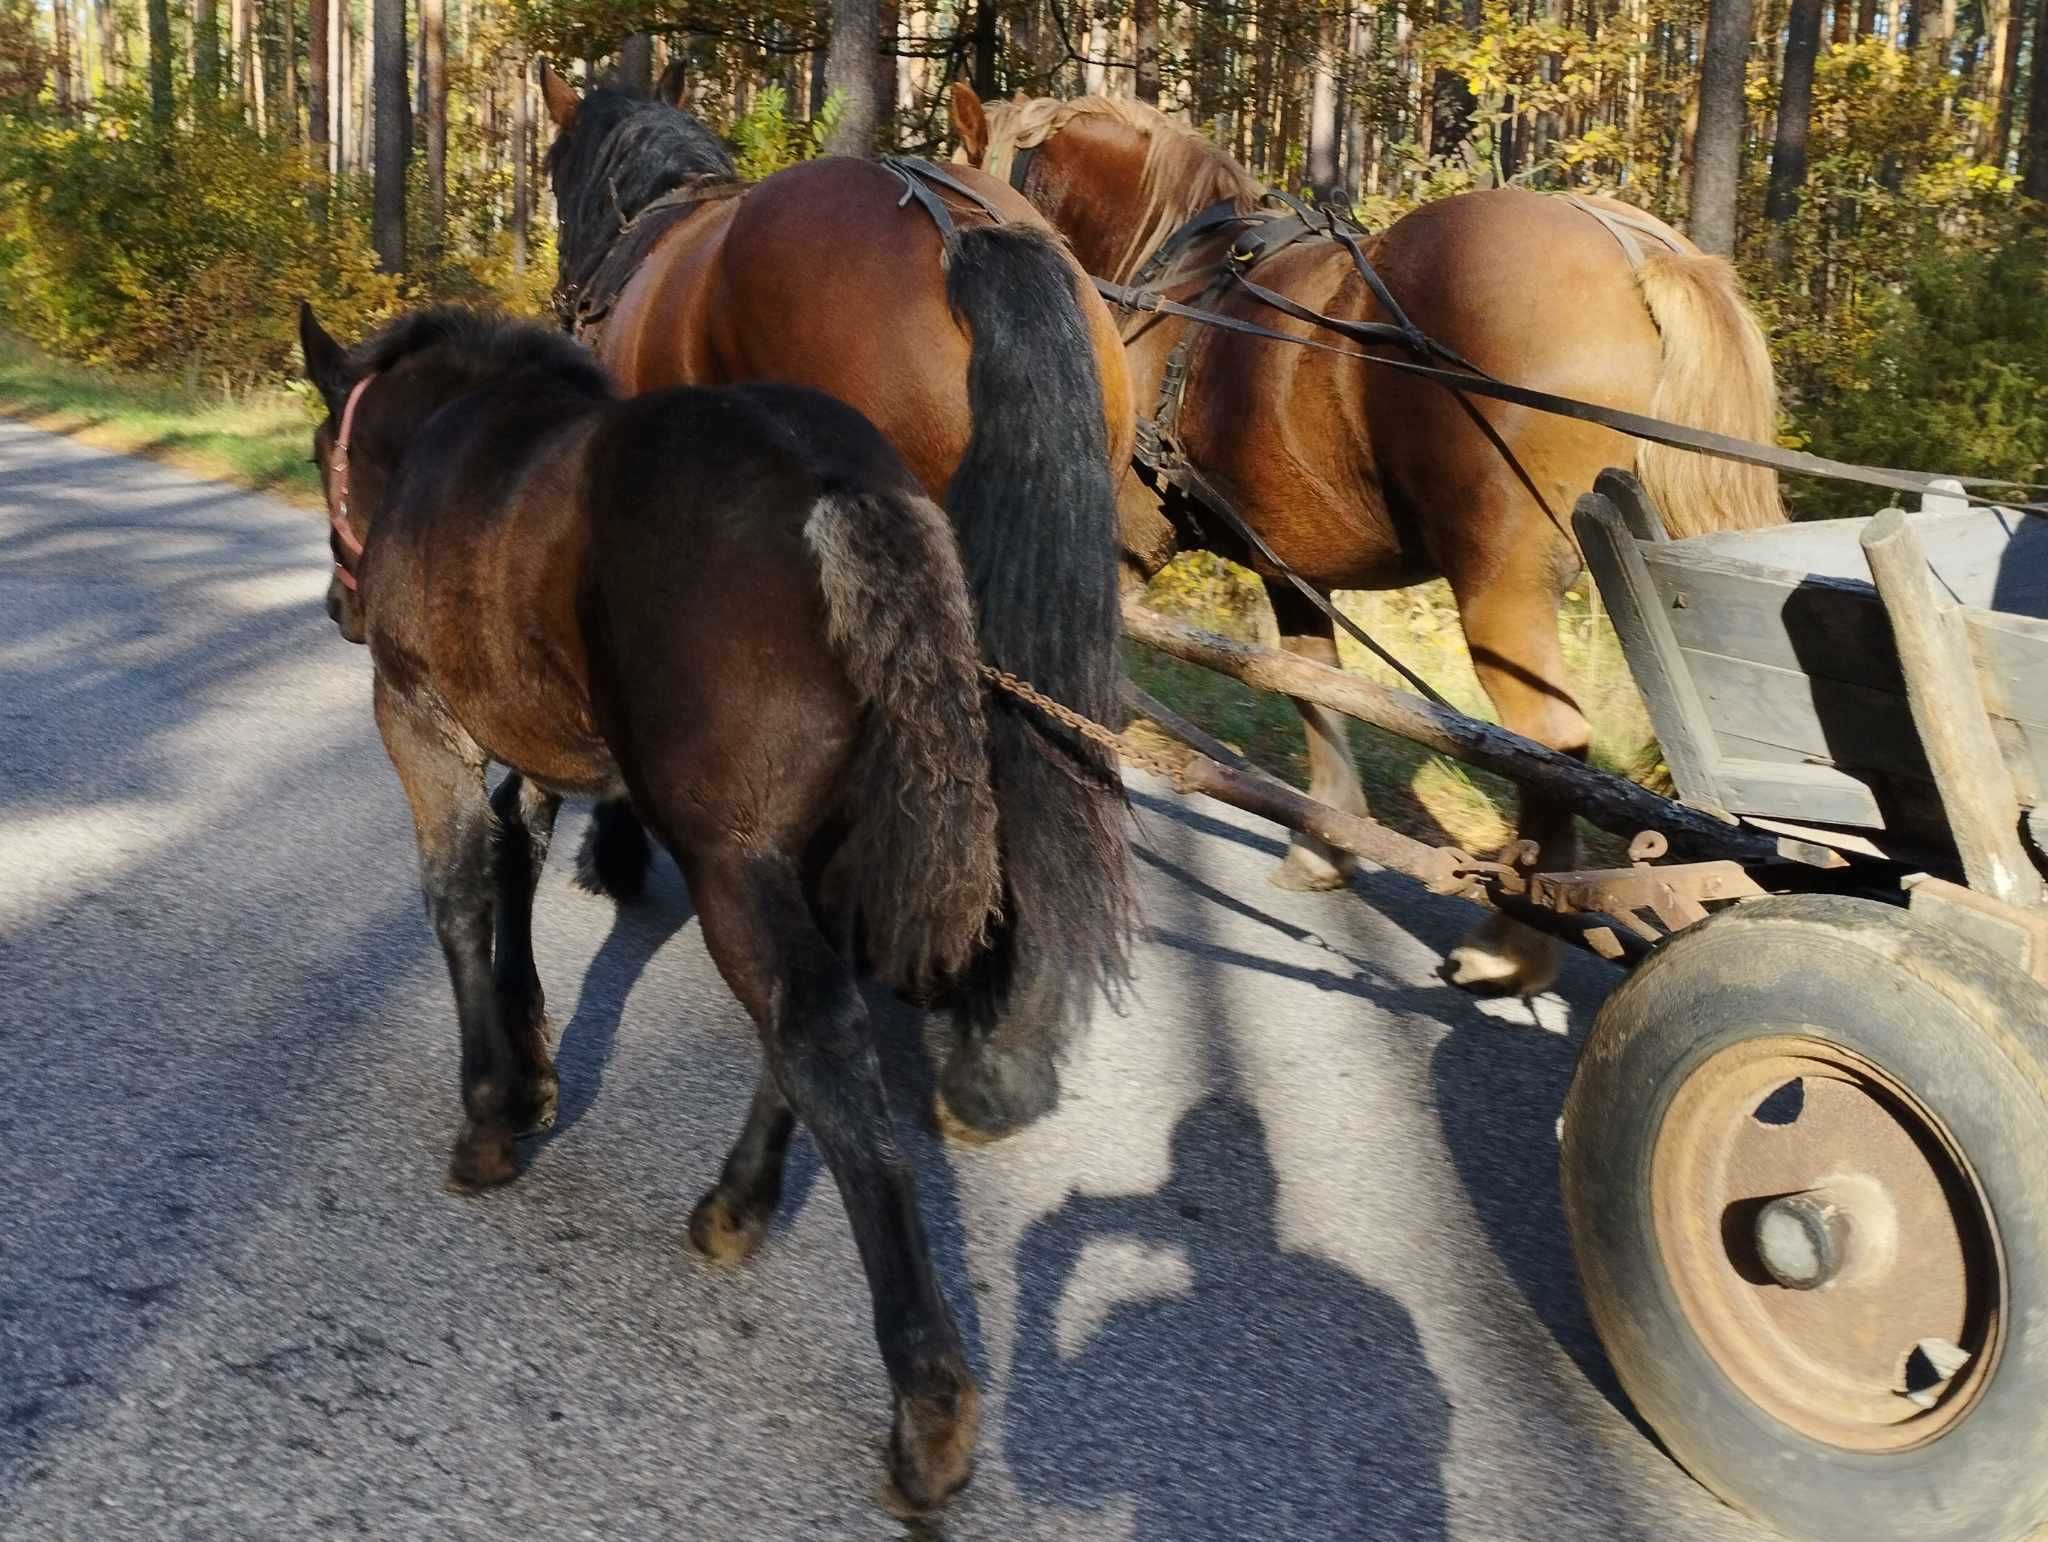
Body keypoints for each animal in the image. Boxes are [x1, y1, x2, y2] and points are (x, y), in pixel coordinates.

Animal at [296, 303, 1024, 1515]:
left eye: (317, 457)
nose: (337, 607)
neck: (448, 436)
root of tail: (841, 487)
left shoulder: (419, 716)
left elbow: (459, 888)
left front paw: (490, 1115)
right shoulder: (543, 744)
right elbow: (518, 863)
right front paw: (535, 1070)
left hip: (731, 856)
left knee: (813, 1025)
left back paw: (927, 1405)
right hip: (814, 852)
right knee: (814, 1022)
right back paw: (736, 1204)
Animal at [950, 87, 1785, 999]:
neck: (1167, 281)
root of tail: (1631, 247)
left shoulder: (1132, 534)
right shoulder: (1288, 563)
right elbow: (1312, 682)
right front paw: (1325, 842)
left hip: (1503, 585)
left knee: (1553, 745)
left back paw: (1514, 942)